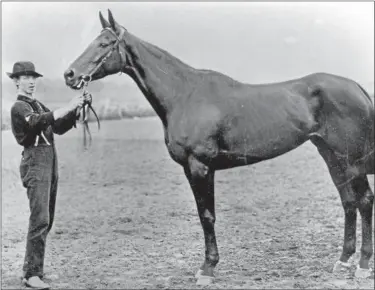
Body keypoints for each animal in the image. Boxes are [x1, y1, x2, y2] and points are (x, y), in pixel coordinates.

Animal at [64, 9, 374, 286]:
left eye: (104, 43)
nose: (70, 74)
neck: (184, 95)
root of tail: (357, 87)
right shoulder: (190, 169)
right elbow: (204, 215)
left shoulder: (201, 166)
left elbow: (207, 216)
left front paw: (207, 269)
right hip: (332, 156)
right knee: (349, 202)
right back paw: (343, 262)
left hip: (352, 160)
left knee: (365, 201)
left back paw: (362, 266)